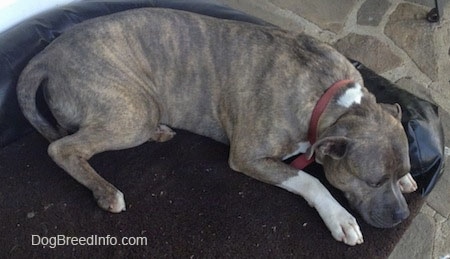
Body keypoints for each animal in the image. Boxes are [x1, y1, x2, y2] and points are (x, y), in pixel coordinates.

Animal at [17, 8, 418, 247]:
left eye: (398, 174)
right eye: (372, 182)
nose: (402, 216)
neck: (331, 101)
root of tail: (45, 56)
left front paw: (410, 182)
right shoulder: (249, 156)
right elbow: (309, 179)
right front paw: (339, 217)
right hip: (132, 113)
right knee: (63, 148)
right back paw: (107, 192)